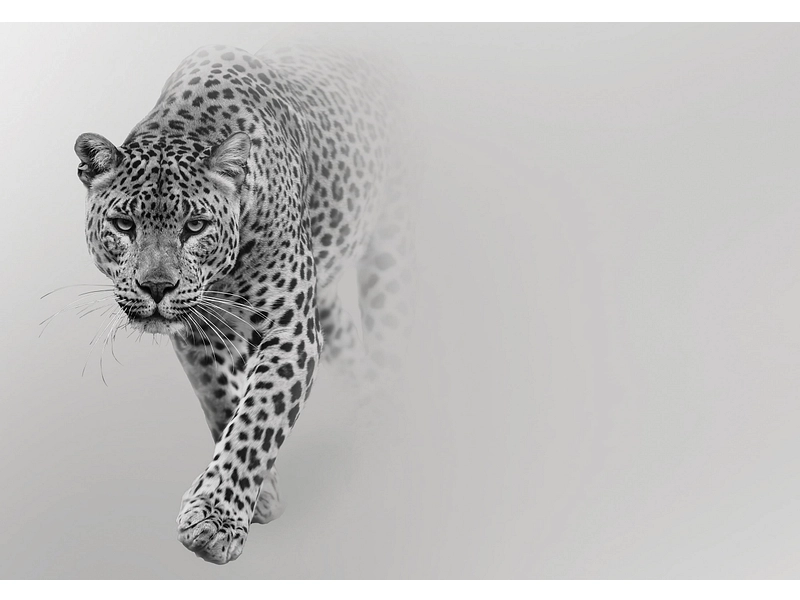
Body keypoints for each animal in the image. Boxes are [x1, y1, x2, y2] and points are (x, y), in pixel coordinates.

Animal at [74, 42, 413, 565]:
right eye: (124, 225)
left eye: (195, 227)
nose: (157, 287)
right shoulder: (198, 334)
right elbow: (222, 403)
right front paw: (261, 495)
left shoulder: (292, 332)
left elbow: (259, 416)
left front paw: (216, 520)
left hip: (388, 259)